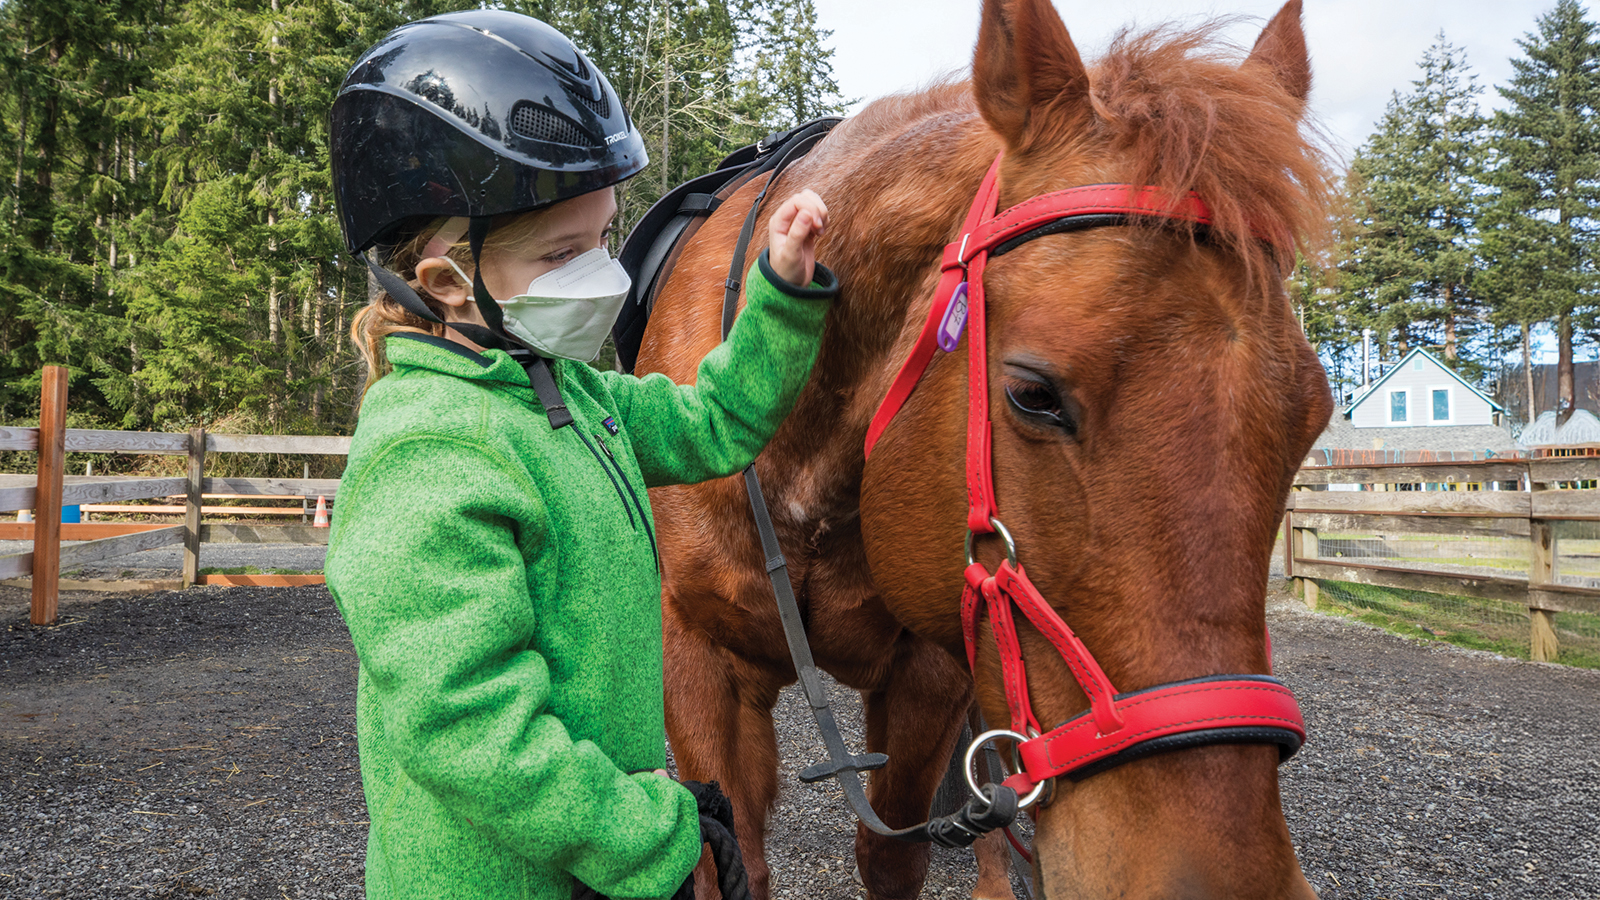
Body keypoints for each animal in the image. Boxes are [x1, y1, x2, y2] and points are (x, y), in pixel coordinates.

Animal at [634, 0, 1334, 897]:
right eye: (1033, 392)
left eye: (1312, 416)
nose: (1227, 880)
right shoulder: (700, 660)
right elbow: (735, 860)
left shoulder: (935, 670)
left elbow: (895, 851)